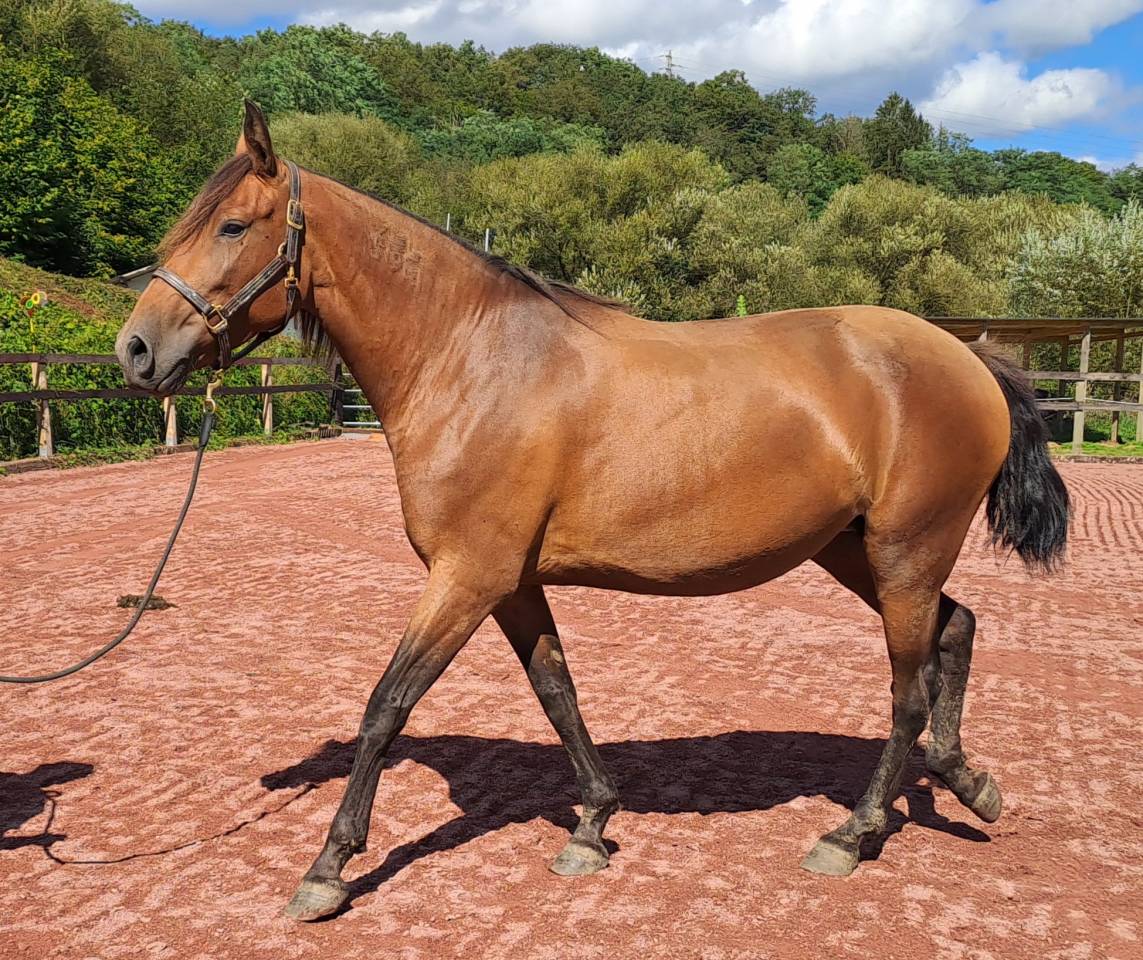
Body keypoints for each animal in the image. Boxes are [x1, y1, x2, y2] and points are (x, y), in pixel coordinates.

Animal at [115, 101, 1069, 922]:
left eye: (231, 226)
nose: (136, 350)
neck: (471, 361)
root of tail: (969, 358)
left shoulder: (467, 576)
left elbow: (386, 707)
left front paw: (328, 869)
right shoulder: (510, 582)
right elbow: (556, 690)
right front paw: (593, 824)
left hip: (905, 552)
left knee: (907, 690)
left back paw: (851, 834)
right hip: (856, 551)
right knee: (955, 631)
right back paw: (967, 783)